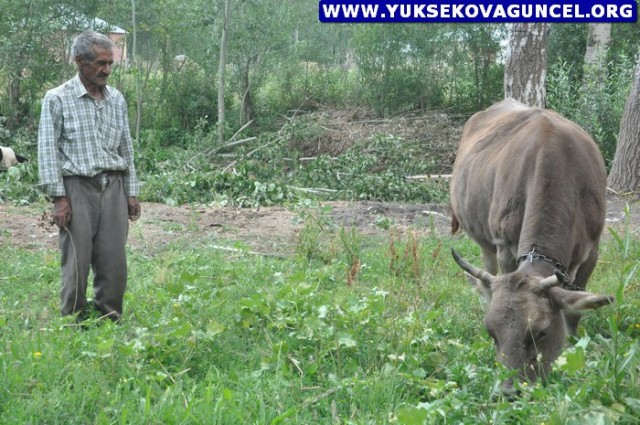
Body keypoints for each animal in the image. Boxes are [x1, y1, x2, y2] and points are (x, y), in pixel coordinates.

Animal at [449, 98, 613, 394]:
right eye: (491, 332)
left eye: (541, 332)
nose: (508, 390)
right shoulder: (505, 246)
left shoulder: (592, 250)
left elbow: (574, 311)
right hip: (485, 242)